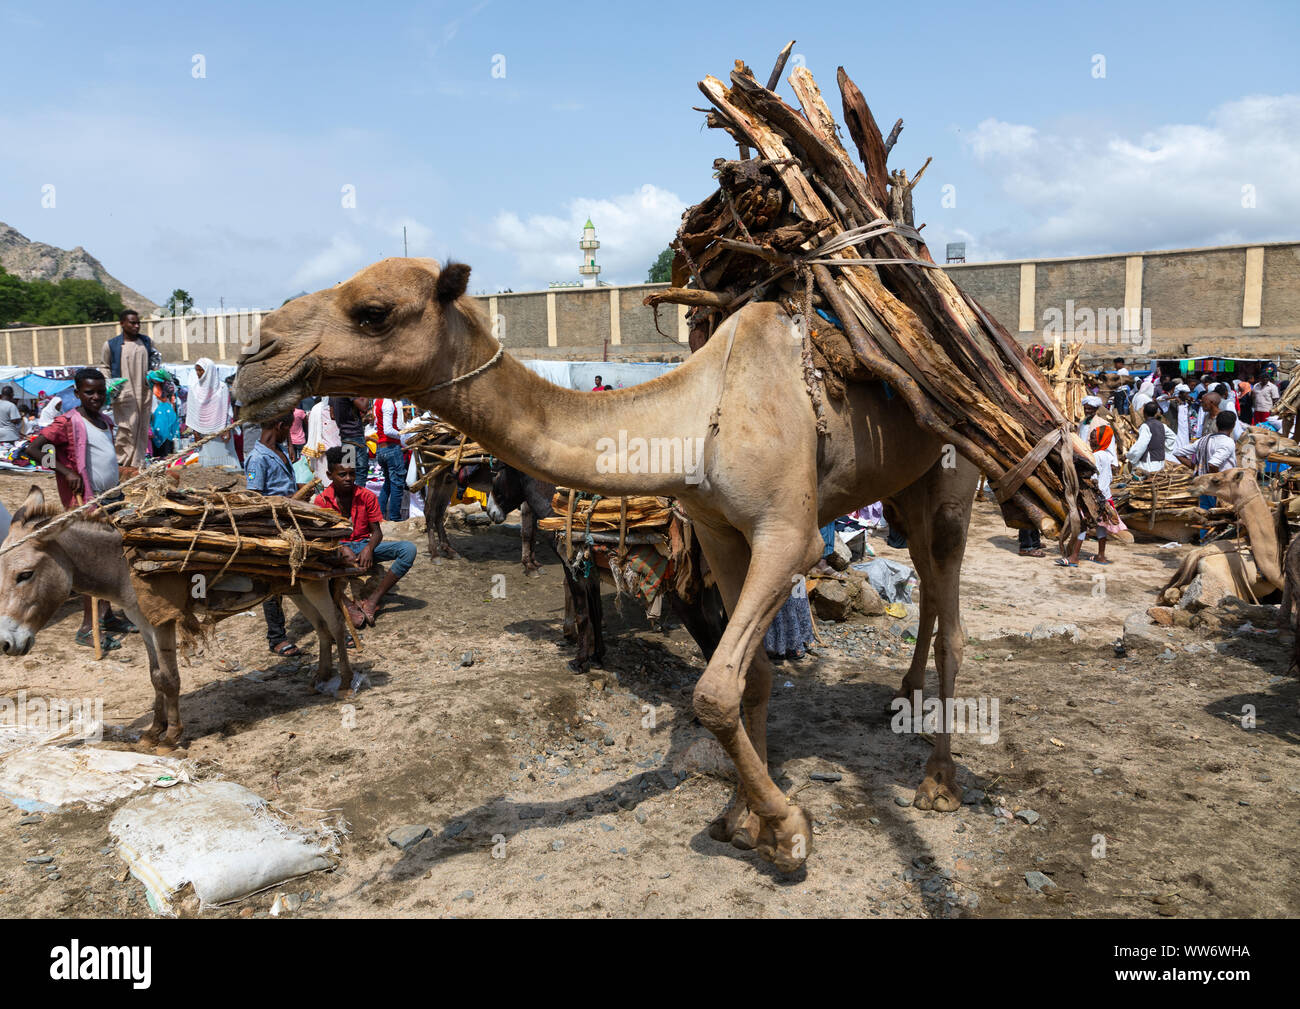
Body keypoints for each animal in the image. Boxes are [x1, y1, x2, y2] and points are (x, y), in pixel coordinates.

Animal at [0, 486, 355, 752]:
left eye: (25, 575)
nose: (5, 644)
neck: (122, 562)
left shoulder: (163, 618)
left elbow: (170, 678)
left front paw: (171, 737)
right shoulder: (143, 621)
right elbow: (155, 675)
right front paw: (152, 732)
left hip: (315, 584)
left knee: (336, 625)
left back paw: (344, 685)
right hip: (296, 586)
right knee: (322, 628)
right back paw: (320, 678)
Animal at [234, 257, 981, 873]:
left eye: (373, 311)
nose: (253, 359)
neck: (694, 422)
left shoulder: (788, 535)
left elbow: (714, 689)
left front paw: (790, 830)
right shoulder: (719, 529)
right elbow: (754, 678)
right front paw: (743, 820)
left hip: (954, 467)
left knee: (951, 611)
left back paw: (938, 782)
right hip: (903, 483)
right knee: (924, 579)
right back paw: (903, 694)